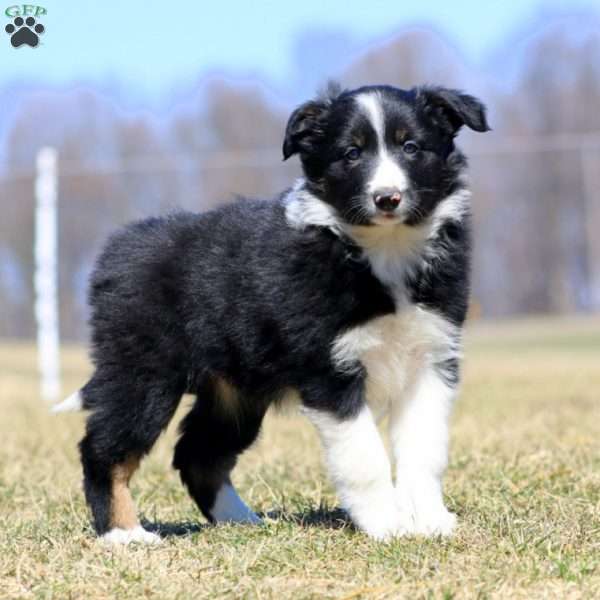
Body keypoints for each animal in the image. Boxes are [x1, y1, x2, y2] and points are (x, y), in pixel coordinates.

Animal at [54, 83, 490, 544]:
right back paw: (123, 533)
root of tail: (116, 251)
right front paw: (388, 525)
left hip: (233, 392)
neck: (384, 250)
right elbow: (364, 457)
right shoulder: (330, 371)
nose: (387, 198)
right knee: (104, 449)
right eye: (352, 153)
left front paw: (429, 520)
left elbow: (425, 451)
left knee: (199, 454)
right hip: (142, 373)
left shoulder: (431, 358)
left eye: (411, 147)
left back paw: (240, 521)